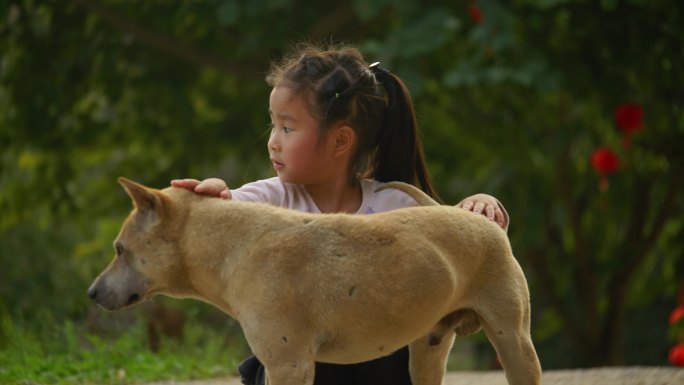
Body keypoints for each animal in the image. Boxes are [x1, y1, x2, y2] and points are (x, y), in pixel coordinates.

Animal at [89, 178, 540, 384]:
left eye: (119, 249)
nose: (91, 293)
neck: (230, 245)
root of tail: (482, 220)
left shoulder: (288, 364)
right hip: (427, 351)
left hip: (514, 343)